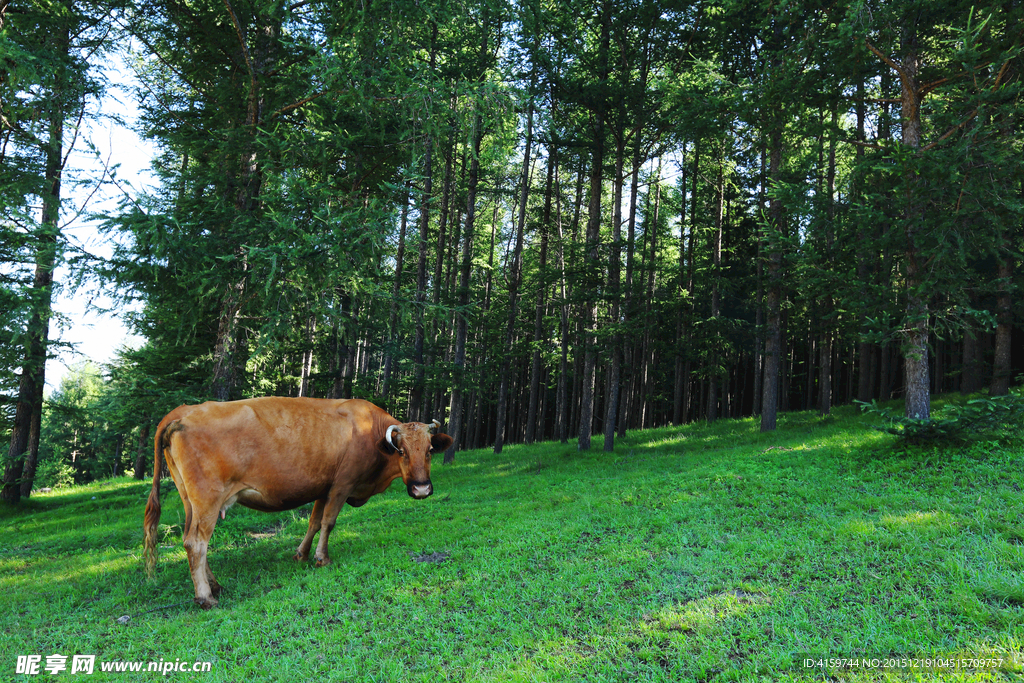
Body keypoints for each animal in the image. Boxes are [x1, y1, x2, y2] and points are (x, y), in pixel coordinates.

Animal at [143, 395, 452, 610]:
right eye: (401, 451)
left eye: (430, 449)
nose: (421, 489)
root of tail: (183, 411)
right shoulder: (342, 484)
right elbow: (328, 522)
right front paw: (321, 558)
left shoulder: (323, 487)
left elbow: (314, 522)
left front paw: (301, 554)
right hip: (208, 499)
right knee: (196, 543)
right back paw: (205, 597)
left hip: (189, 501)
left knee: (190, 539)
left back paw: (215, 585)